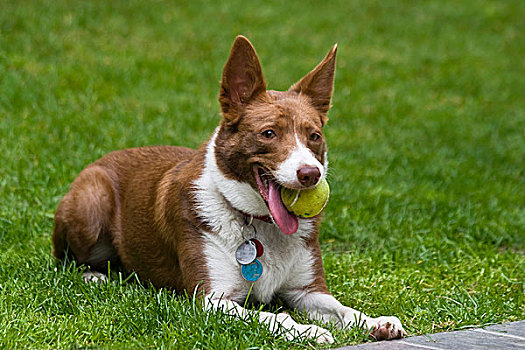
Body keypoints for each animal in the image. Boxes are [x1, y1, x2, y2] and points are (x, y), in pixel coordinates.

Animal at [52, 36, 406, 344]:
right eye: (268, 133)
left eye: (314, 136)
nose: (311, 174)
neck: (260, 224)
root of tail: (102, 157)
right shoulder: (212, 300)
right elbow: (273, 316)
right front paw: (308, 331)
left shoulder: (308, 291)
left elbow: (344, 309)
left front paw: (375, 322)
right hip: (90, 202)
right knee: (65, 260)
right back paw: (94, 276)